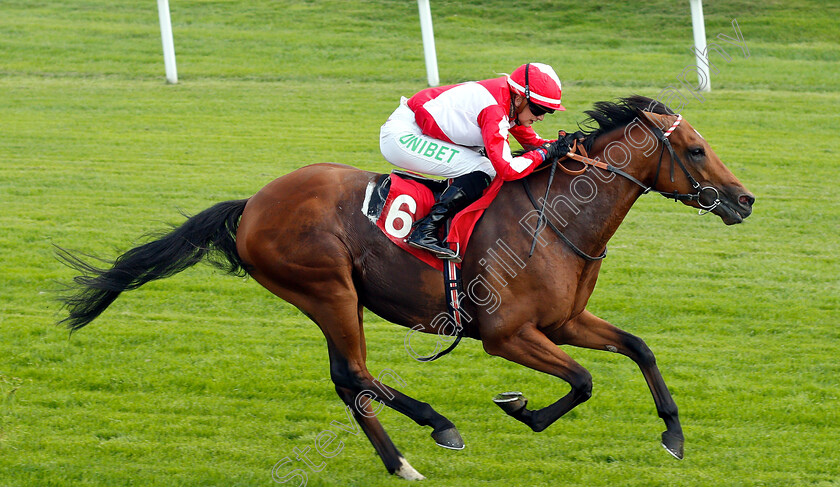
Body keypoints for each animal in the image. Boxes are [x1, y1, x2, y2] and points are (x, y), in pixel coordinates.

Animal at [59, 95, 756, 480]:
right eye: (696, 150)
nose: (745, 200)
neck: (558, 217)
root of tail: (253, 203)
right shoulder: (506, 334)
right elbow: (582, 381)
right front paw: (520, 408)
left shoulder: (562, 322)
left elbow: (639, 348)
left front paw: (673, 436)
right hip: (329, 290)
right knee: (356, 376)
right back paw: (436, 426)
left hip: (330, 297)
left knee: (349, 382)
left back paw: (402, 462)